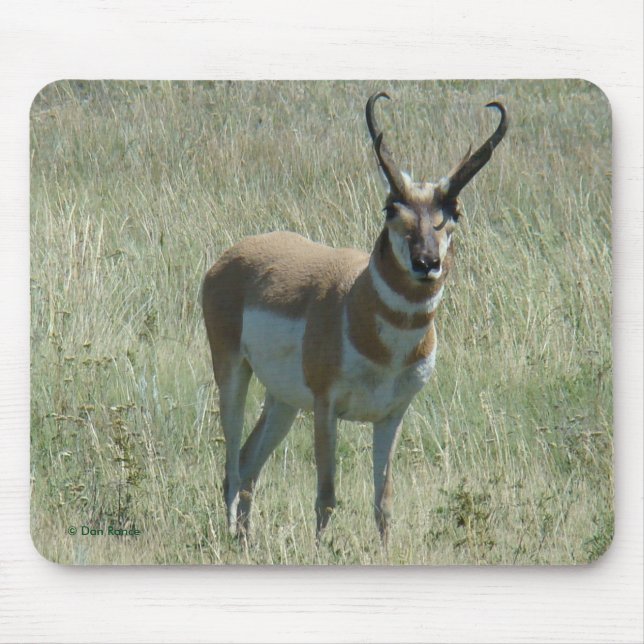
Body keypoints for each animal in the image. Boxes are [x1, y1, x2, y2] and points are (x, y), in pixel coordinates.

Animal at [202, 91, 507, 542]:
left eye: (454, 211)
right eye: (391, 208)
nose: (426, 263)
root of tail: (233, 254)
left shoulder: (392, 415)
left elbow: (384, 502)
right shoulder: (326, 407)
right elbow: (326, 496)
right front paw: (320, 549)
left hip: (283, 401)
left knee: (249, 461)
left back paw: (245, 540)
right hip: (233, 374)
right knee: (231, 466)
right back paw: (229, 536)